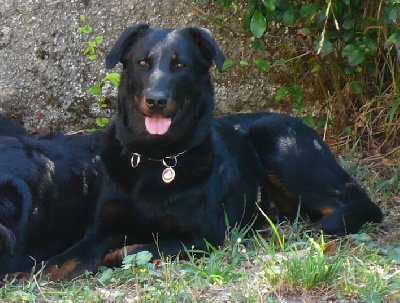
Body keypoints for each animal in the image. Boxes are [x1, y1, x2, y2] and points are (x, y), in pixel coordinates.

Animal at [28, 25, 382, 282]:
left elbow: (138, 247)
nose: (156, 100)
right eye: (142, 63)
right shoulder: (101, 228)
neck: (154, 158)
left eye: (180, 64)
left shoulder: (203, 236)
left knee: (359, 205)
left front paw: (117, 254)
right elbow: (62, 260)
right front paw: (37, 273)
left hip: (282, 146)